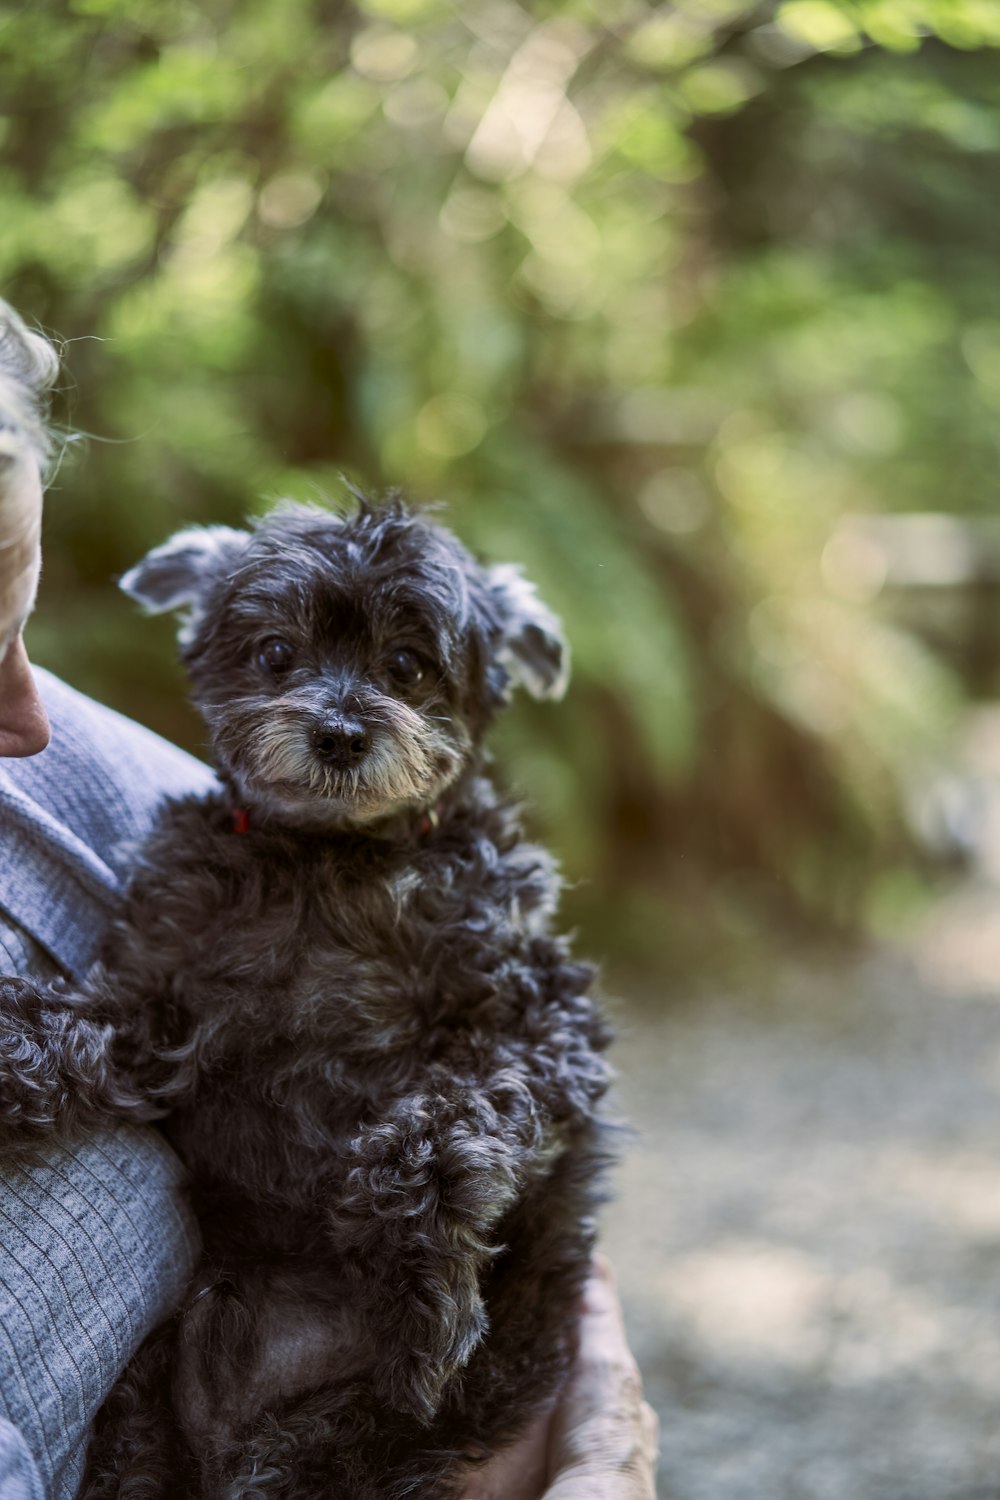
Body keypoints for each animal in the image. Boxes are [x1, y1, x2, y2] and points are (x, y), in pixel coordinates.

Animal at [0, 501, 611, 1500]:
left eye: (407, 664)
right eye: (275, 653)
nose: (339, 733)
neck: (329, 861)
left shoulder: (543, 1026)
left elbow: (448, 1124)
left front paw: (418, 1276)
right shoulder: (163, 1010)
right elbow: (68, 1025)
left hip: (362, 1442)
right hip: (145, 1419)